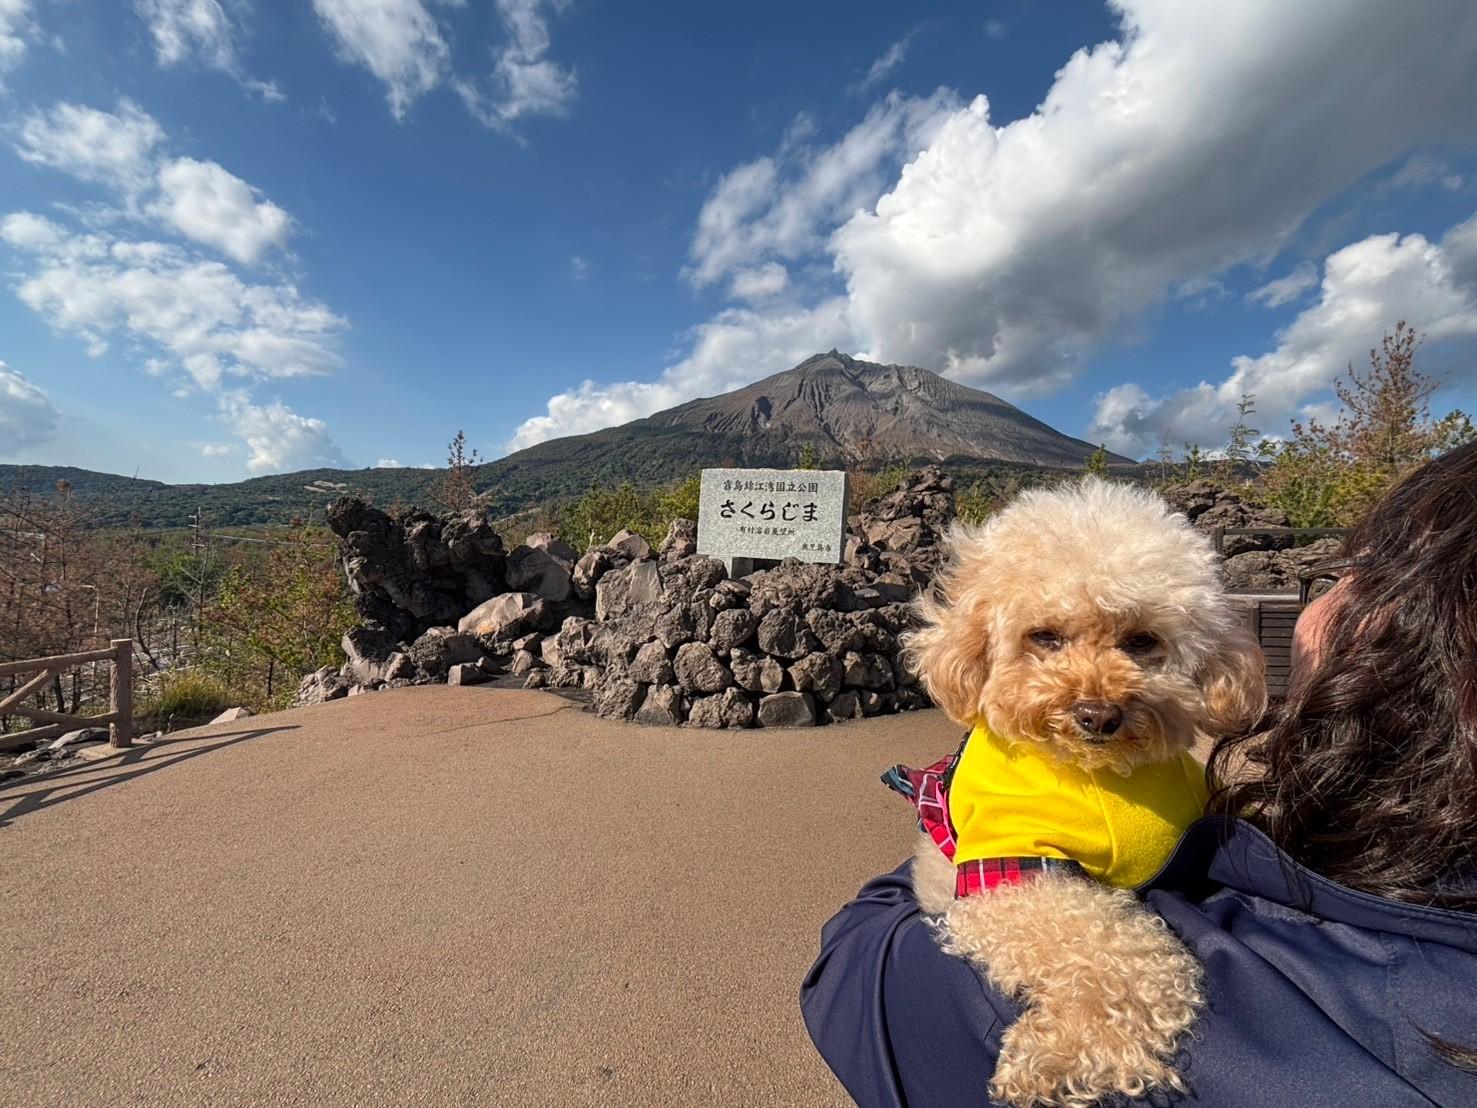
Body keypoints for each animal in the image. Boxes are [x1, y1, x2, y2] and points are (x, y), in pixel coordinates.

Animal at [903, 478, 1264, 1108]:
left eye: (1142, 641)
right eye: (1044, 637)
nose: (1098, 713)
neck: (1097, 776)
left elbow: (1125, 953)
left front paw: (1065, 1050)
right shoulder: (1010, 868)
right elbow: (1101, 945)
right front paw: (1069, 1049)